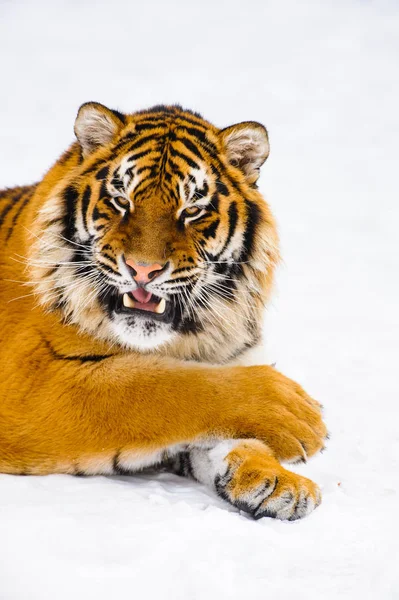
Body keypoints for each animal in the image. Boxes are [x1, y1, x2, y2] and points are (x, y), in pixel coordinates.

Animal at [0, 103, 328, 520]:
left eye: (192, 210)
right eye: (121, 201)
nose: (142, 270)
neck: (187, 337)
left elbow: (225, 437)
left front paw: (278, 481)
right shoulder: (32, 379)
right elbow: (161, 384)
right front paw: (295, 414)